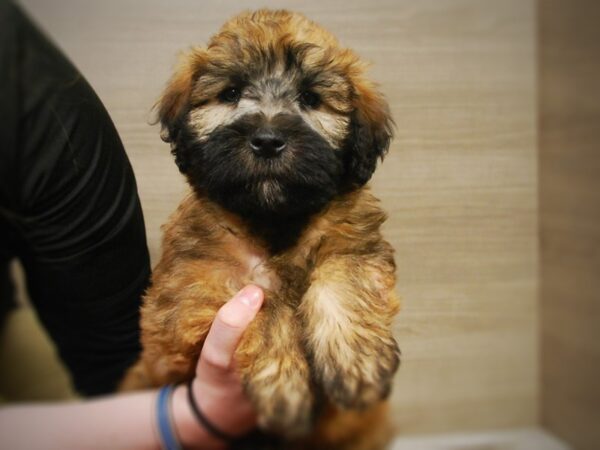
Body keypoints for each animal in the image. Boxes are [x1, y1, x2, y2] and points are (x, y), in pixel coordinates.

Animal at [122, 10, 400, 450]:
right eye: (231, 92)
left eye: (310, 99)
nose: (268, 140)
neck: (273, 220)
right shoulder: (184, 302)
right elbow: (266, 305)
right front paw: (284, 385)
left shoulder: (357, 243)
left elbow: (343, 277)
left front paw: (358, 360)